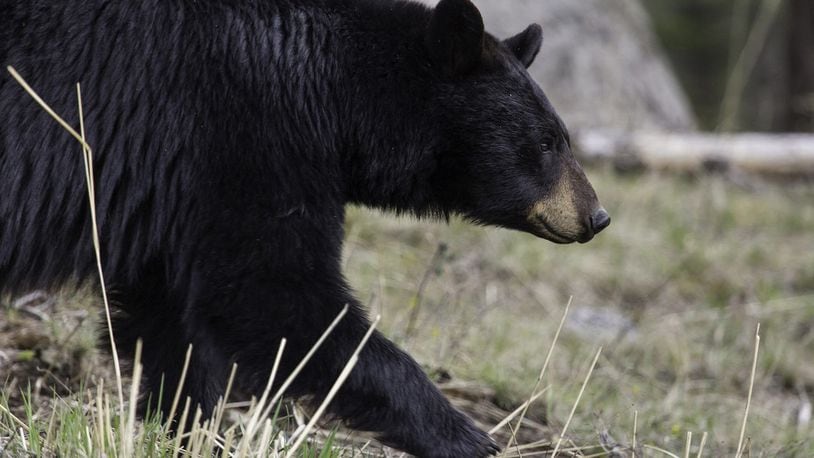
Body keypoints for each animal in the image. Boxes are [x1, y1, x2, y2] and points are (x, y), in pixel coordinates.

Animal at [1, 0, 612, 456]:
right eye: (547, 143)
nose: (597, 216)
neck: (333, 90)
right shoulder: (244, 136)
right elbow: (276, 296)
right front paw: (466, 437)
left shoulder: (175, 197)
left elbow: (172, 322)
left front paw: (190, 430)